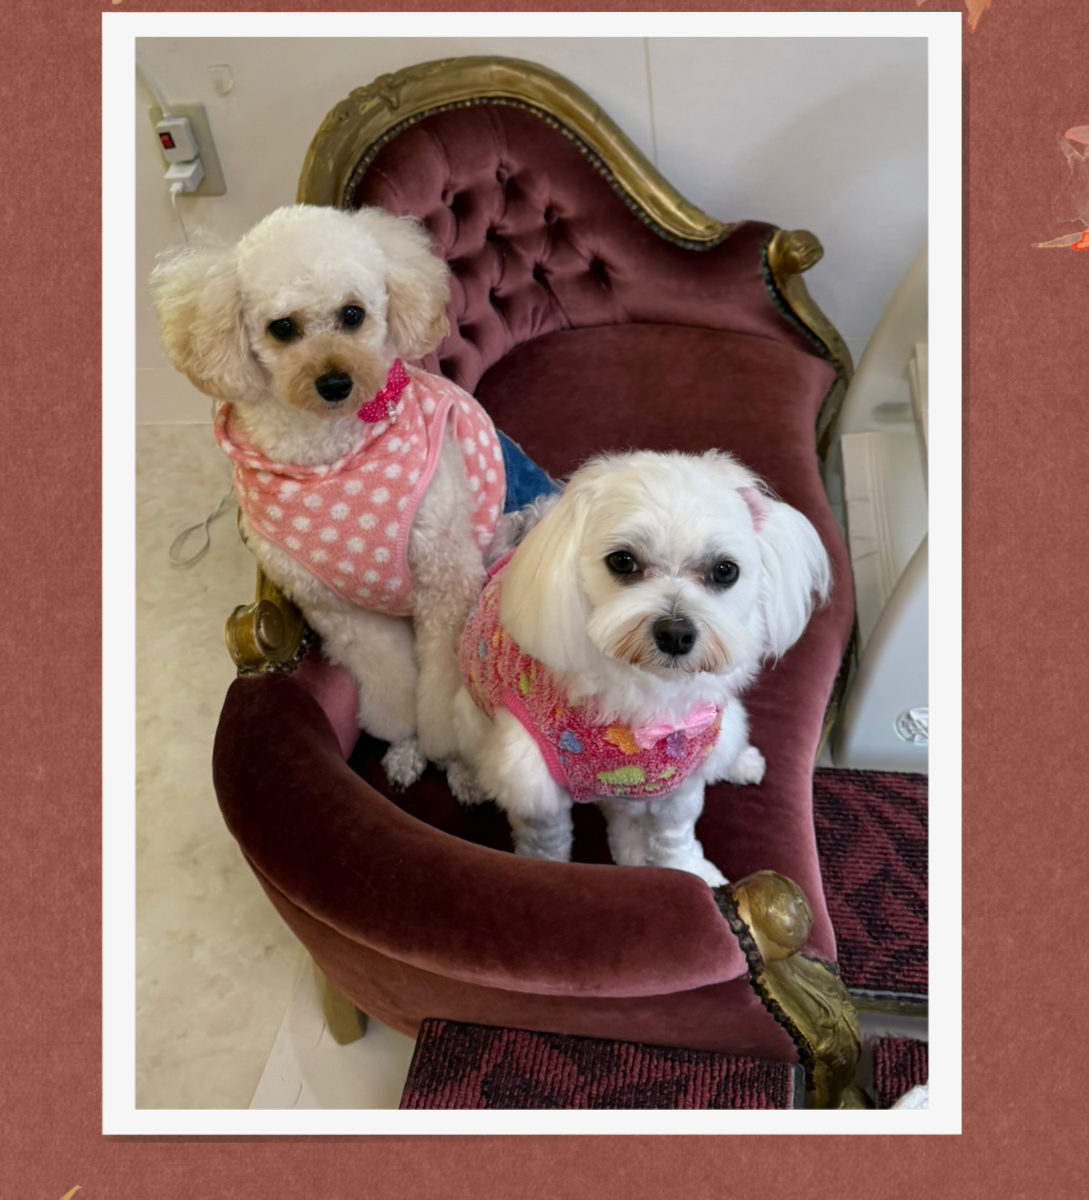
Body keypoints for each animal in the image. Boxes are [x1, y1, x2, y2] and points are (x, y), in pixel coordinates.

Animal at [151, 203, 517, 785]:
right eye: (282, 327)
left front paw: (451, 755)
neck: (328, 460)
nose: (335, 383)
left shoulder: (446, 582)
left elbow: (445, 692)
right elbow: (393, 688)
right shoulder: (343, 613)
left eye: (353, 314)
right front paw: (409, 742)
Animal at [454, 450, 832, 886]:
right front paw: (547, 872)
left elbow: (676, 834)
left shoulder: (680, 781)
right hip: (467, 709)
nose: (676, 633)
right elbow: (546, 843)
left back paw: (739, 762)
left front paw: (690, 870)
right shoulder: (534, 787)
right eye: (622, 561)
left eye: (725, 570)